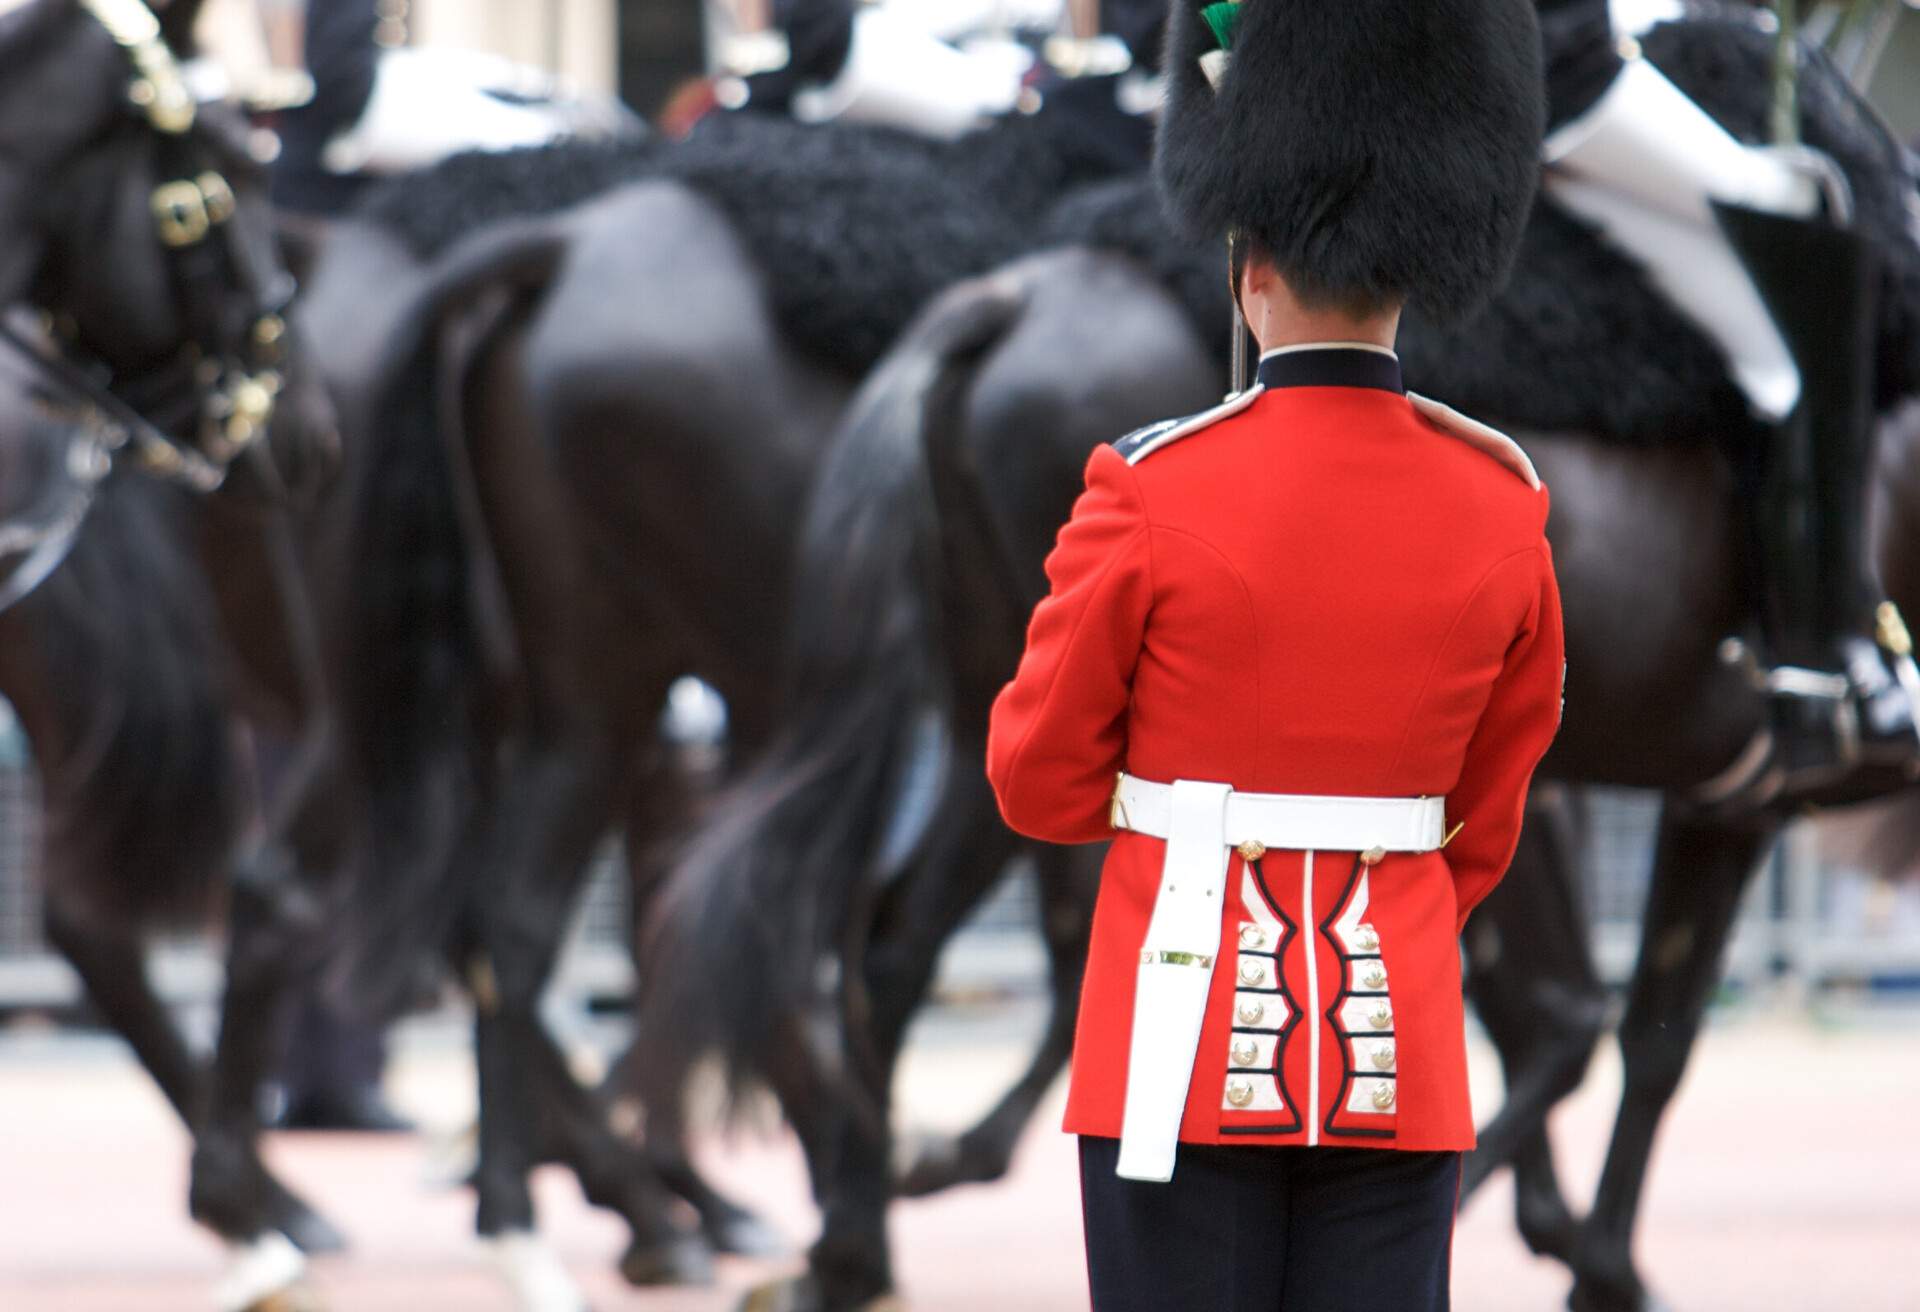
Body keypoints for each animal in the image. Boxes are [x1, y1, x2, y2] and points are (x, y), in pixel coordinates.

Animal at [637, 18, 1920, 1312]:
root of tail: (1010, 295)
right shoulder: (1719, 788)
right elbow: (1615, 1027)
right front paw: (1583, 1247)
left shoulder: (1656, 779)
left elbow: (1593, 1021)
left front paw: (1573, 1241)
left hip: (976, 688)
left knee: (897, 938)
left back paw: (853, 1230)